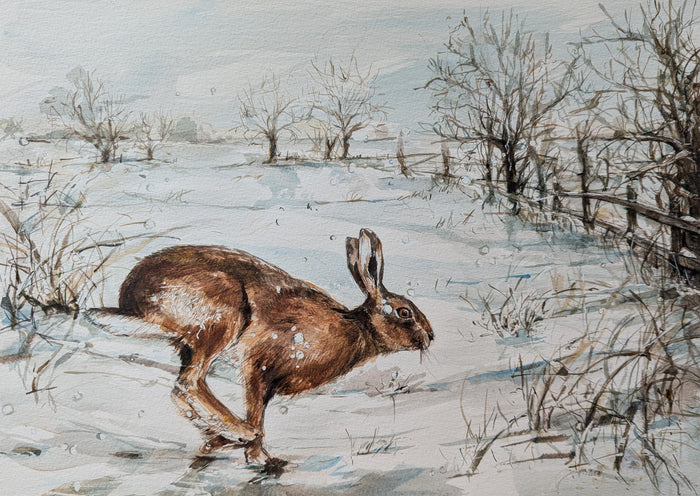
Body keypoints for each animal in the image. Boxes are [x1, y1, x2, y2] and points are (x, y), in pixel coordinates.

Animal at [117, 228, 433, 465]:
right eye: (405, 313)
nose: (430, 336)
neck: (356, 326)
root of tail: (133, 300)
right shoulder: (260, 367)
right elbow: (257, 416)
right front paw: (261, 459)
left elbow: (258, 415)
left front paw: (219, 446)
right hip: (222, 320)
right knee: (189, 384)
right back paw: (241, 433)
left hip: (192, 343)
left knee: (185, 388)